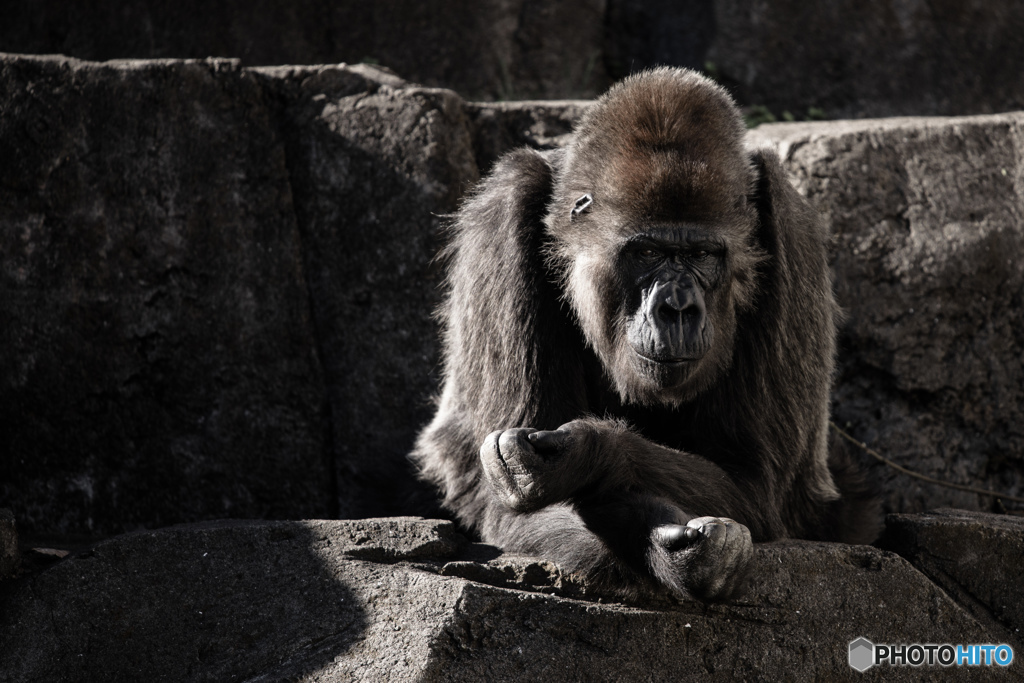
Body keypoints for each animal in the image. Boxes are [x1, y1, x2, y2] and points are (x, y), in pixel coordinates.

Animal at [409, 69, 880, 602]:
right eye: (648, 252)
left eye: (701, 255)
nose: (677, 309)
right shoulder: (502, 210)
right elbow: (508, 503)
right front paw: (664, 544)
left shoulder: (789, 222)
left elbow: (754, 483)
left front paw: (588, 454)